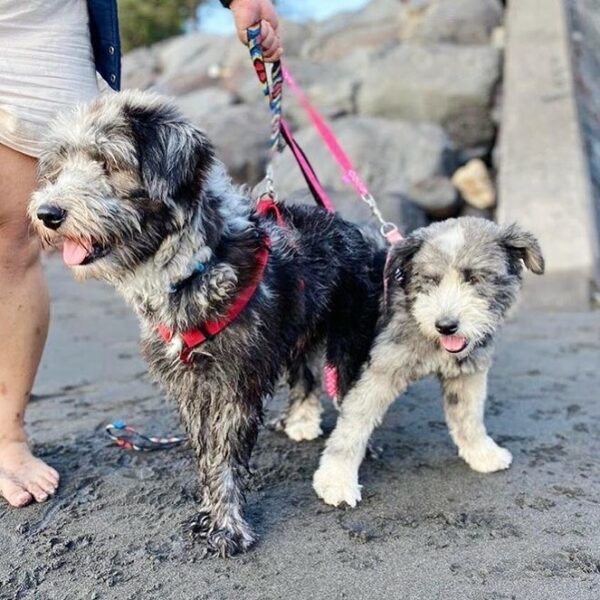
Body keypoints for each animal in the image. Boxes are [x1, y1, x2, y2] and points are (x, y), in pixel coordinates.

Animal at [28, 90, 380, 556]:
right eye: (60, 164)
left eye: (107, 162)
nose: (47, 213)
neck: (192, 267)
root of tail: (350, 225)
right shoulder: (189, 385)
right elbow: (206, 453)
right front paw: (210, 513)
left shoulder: (235, 381)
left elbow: (224, 455)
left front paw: (228, 526)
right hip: (294, 330)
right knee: (303, 373)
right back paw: (301, 421)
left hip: (347, 338)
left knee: (351, 397)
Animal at [314, 218, 544, 508]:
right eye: (431, 280)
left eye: (474, 278)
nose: (446, 326)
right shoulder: (380, 371)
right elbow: (352, 427)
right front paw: (336, 481)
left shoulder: (467, 372)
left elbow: (468, 416)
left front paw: (482, 453)